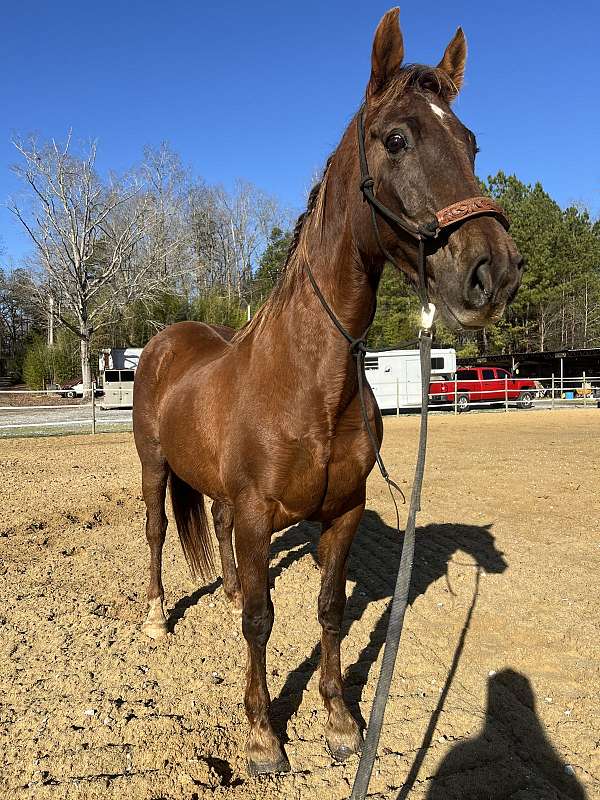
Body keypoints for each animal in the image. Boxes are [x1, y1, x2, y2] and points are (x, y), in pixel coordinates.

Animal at [134, 7, 524, 776]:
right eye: (397, 139)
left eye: (471, 142)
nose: (494, 272)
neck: (307, 383)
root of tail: (165, 343)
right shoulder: (260, 514)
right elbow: (261, 621)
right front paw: (263, 736)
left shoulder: (342, 512)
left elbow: (328, 611)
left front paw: (341, 723)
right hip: (155, 467)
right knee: (160, 533)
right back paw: (158, 618)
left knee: (217, 528)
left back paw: (224, 587)